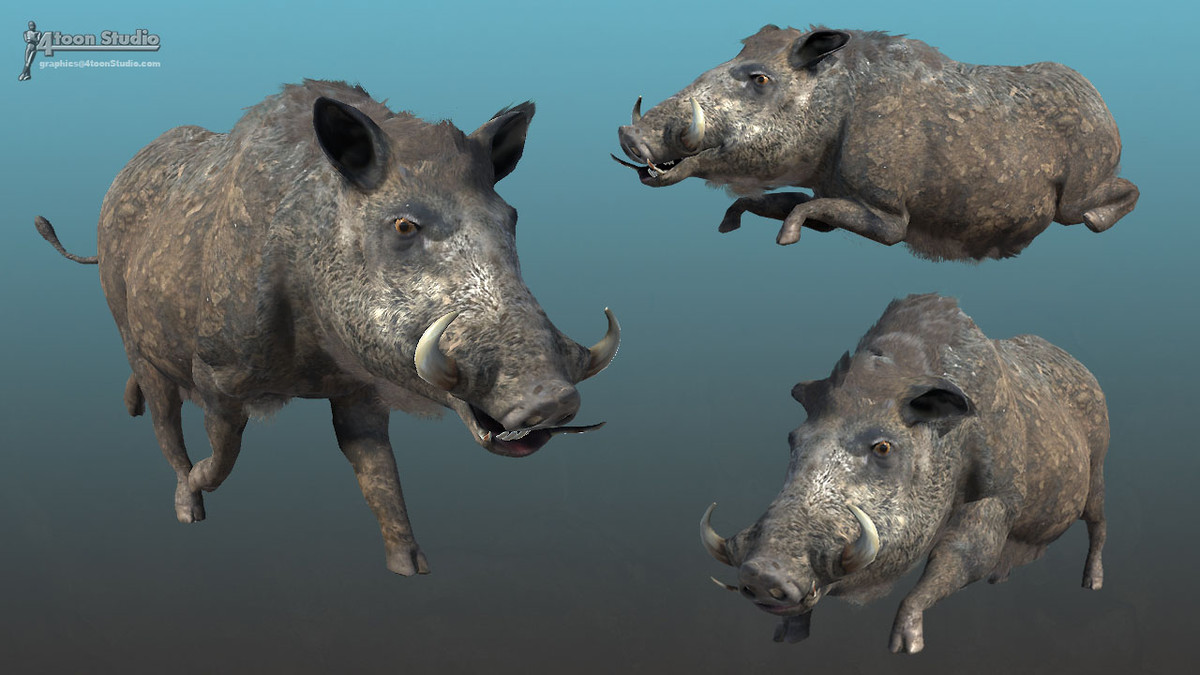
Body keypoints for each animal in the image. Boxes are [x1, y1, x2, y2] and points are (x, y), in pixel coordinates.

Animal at [35, 79, 620, 576]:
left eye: (511, 218)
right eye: (403, 225)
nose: (552, 399)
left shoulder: (360, 390)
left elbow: (378, 469)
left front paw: (412, 568)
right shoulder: (217, 375)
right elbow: (222, 454)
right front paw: (194, 492)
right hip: (133, 336)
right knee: (162, 415)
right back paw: (185, 505)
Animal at [615, 25, 1138, 260]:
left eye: (759, 79)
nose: (631, 136)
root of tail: (1105, 107)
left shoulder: (890, 218)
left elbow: (804, 210)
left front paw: (784, 241)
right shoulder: (828, 190)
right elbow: (786, 202)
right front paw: (729, 226)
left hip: (1080, 189)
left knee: (1117, 195)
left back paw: (1096, 221)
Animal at [700, 294, 1108, 652]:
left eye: (883, 447)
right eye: (792, 438)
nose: (762, 573)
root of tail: (1085, 370)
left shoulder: (1001, 496)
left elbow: (958, 554)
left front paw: (903, 648)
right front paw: (786, 638)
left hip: (1099, 466)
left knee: (1098, 523)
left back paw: (1093, 584)